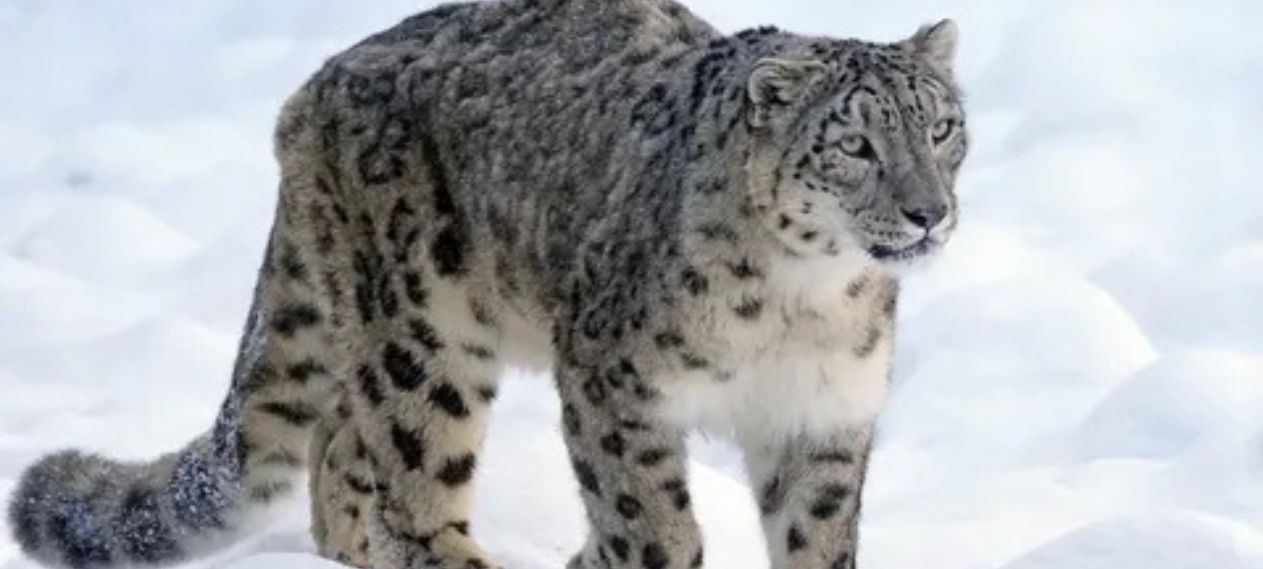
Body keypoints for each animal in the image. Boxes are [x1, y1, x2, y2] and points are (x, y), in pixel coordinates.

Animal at [7, 1, 968, 568]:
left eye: (942, 127)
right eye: (854, 145)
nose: (927, 211)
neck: (804, 303)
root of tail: (312, 88)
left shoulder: (823, 414)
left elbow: (815, 536)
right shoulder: (617, 386)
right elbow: (649, 520)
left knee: (338, 442)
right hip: (421, 328)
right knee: (407, 469)